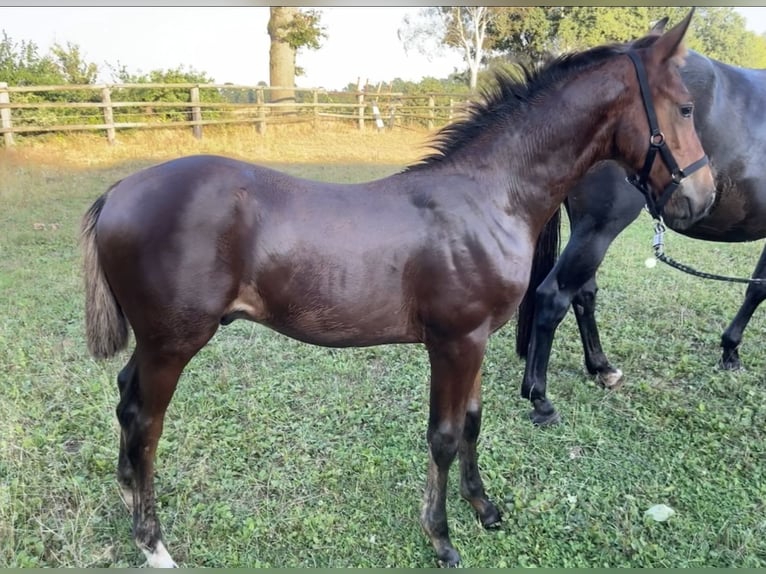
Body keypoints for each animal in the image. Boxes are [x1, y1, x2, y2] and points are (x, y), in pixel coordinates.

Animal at [82, 11, 712, 568]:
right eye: (685, 107)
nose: (700, 198)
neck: (490, 196)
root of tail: (117, 193)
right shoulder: (453, 342)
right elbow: (444, 435)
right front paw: (441, 539)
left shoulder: (477, 341)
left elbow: (473, 424)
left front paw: (484, 508)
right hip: (173, 344)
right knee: (145, 423)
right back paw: (153, 544)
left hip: (156, 343)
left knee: (124, 396)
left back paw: (127, 496)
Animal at [516, 24, 766, 428]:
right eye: (684, 111)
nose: (705, 195)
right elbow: (758, 288)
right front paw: (730, 350)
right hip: (599, 226)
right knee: (555, 294)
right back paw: (540, 398)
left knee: (583, 292)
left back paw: (601, 367)